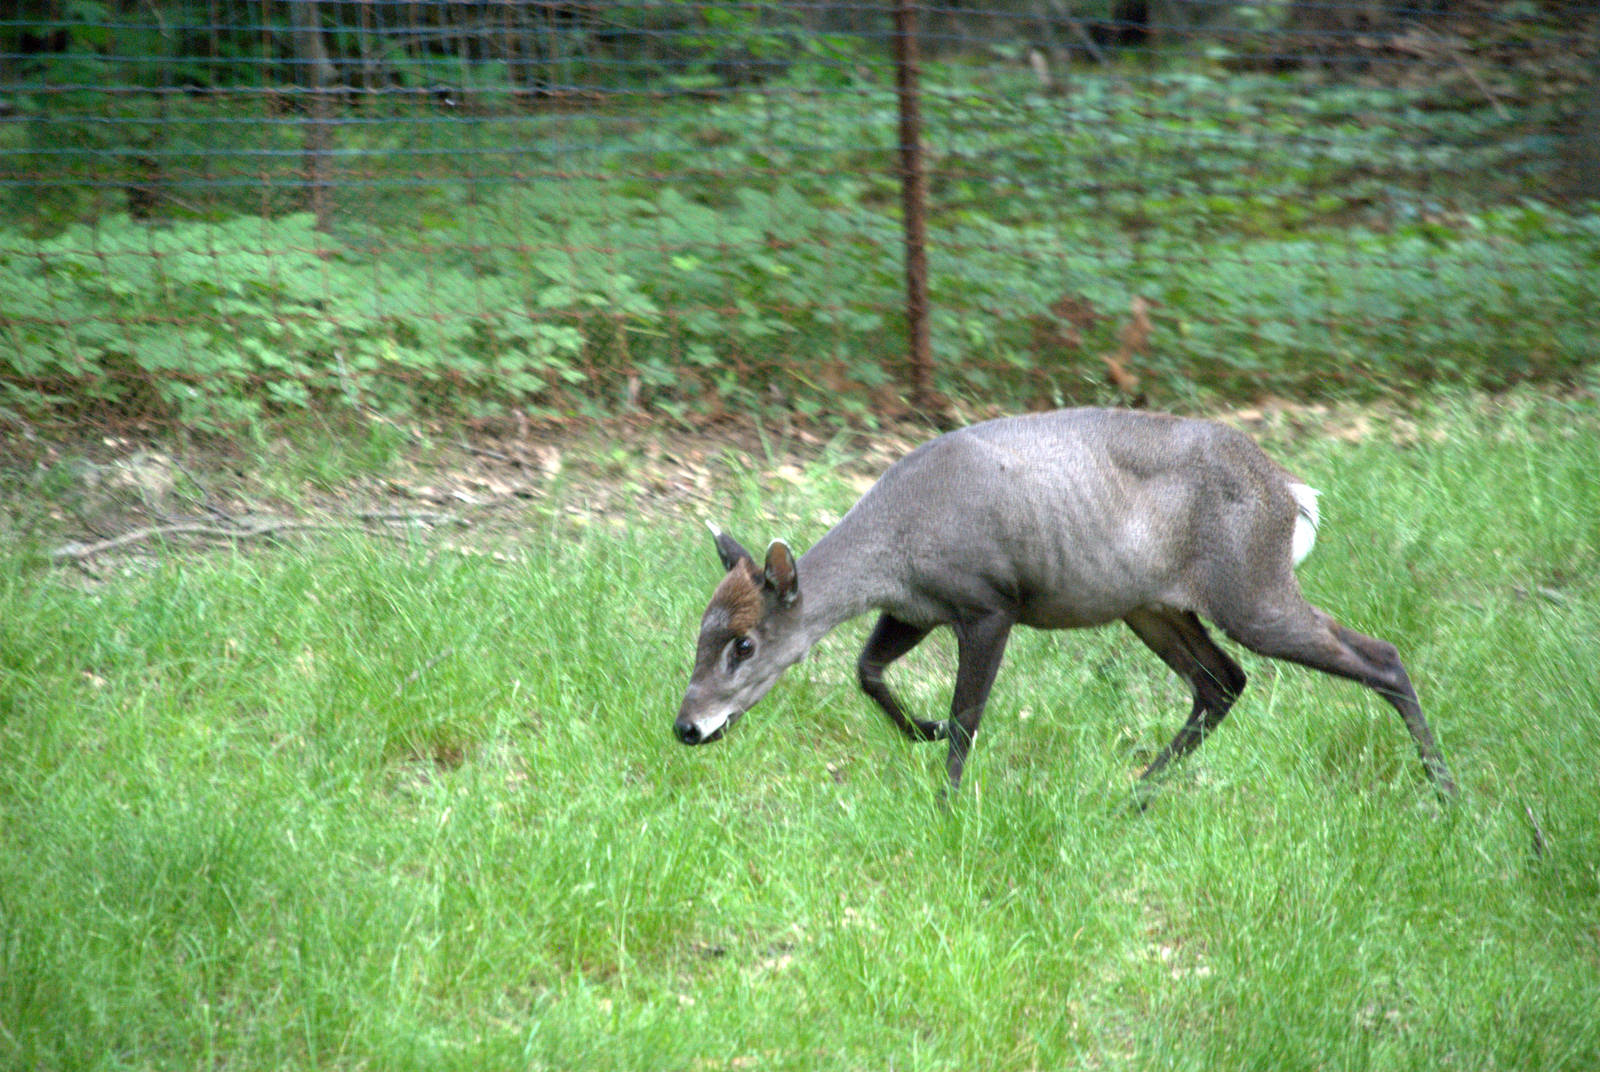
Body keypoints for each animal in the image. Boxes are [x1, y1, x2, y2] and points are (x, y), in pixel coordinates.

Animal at [673, 408, 1457, 801]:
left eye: (743, 643)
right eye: (700, 634)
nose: (687, 726)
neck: (900, 545)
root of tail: (1293, 494)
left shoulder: (990, 602)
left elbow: (968, 717)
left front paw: (947, 803)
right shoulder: (917, 608)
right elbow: (866, 671)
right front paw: (921, 729)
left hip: (1250, 587)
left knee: (1380, 655)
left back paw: (1445, 792)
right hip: (1151, 605)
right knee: (1221, 680)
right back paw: (1134, 792)